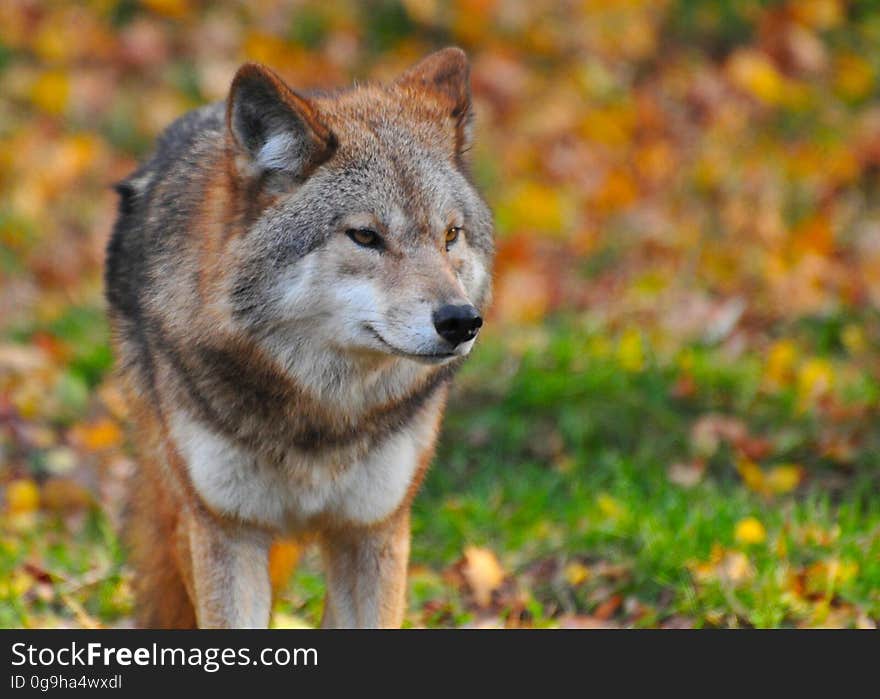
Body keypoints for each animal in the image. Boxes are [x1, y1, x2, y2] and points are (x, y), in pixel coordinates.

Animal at [103, 49, 496, 628]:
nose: (461, 321)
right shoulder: (225, 530)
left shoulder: (373, 529)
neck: (320, 417)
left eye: (451, 235)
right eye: (365, 236)